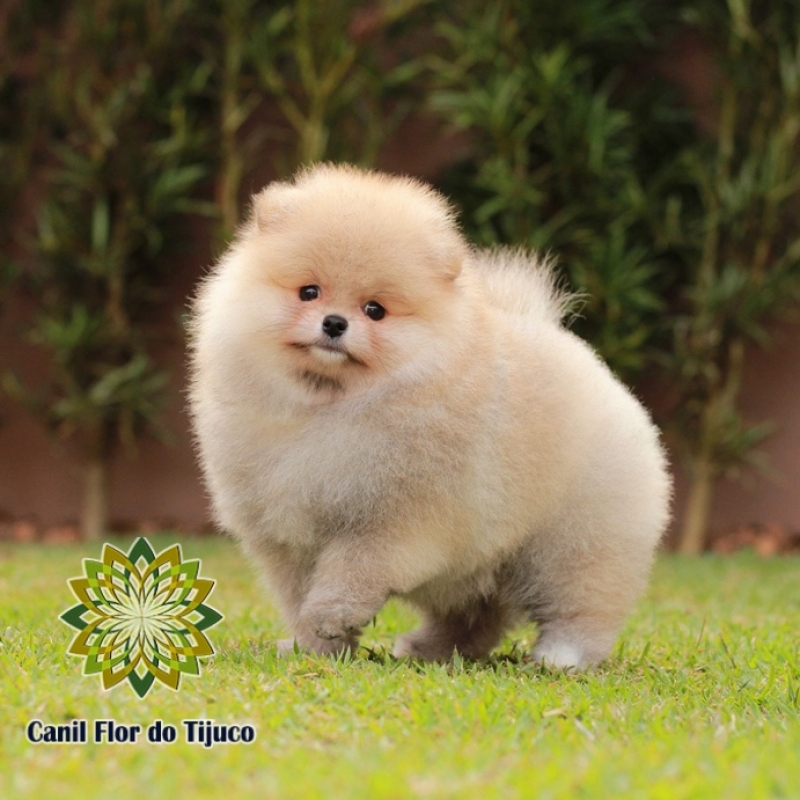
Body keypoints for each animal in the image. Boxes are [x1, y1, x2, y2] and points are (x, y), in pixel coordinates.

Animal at [191, 162, 672, 668]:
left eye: (375, 310)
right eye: (309, 292)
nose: (335, 323)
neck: (331, 406)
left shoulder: (394, 518)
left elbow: (352, 570)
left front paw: (331, 616)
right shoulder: (288, 534)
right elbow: (298, 592)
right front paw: (315, 646)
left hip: (575, 541)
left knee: (581, 604)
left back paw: (562, 656)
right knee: (477, 614)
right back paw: (433, 649)